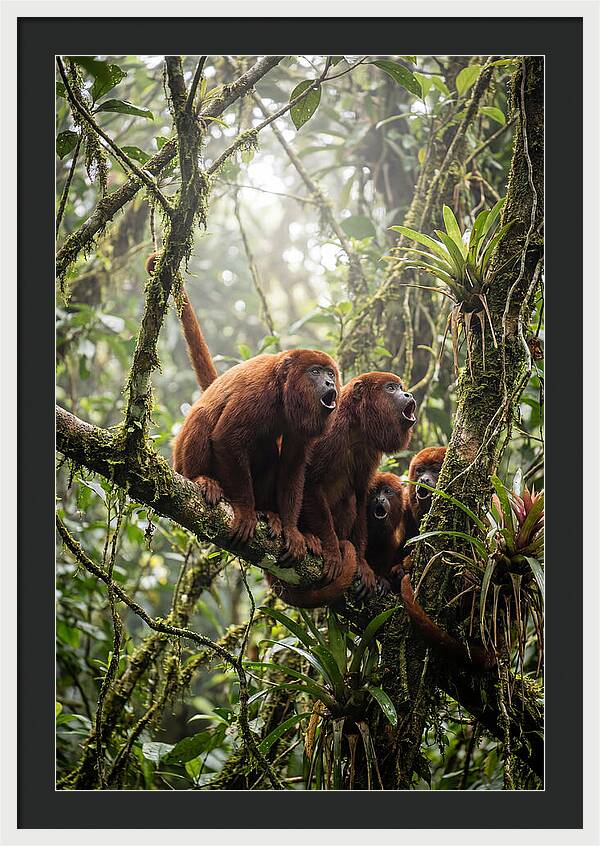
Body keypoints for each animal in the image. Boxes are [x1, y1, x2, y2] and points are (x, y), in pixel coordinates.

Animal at [147, 253, 341, 559]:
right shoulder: (258, 392)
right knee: (203, 418)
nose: (330, 383)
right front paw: (247, 511)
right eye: (314, 372)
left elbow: (292, 465)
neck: (283, 391)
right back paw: (204, 480)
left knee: (269, 451)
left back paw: (269, 514)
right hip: (181, 462)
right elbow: (226, 437)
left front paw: (291, 529)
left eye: (330, 373)